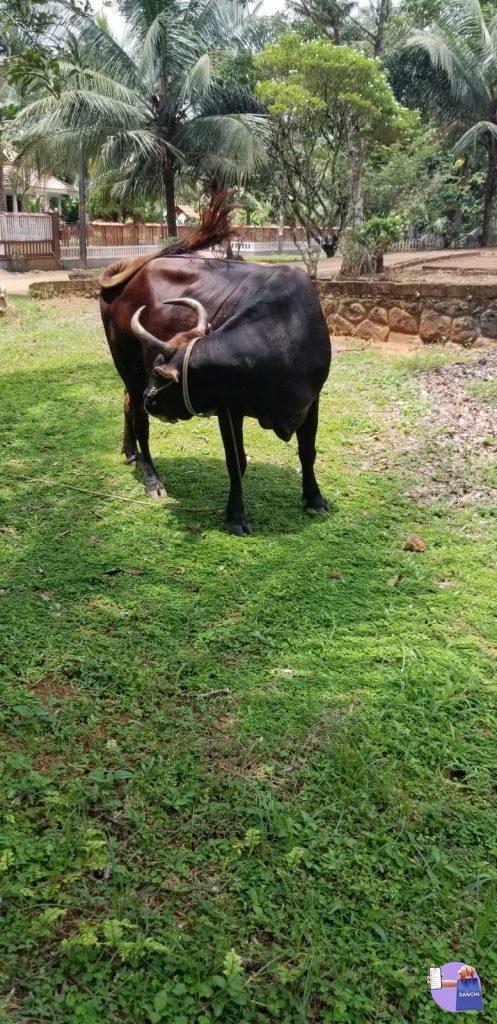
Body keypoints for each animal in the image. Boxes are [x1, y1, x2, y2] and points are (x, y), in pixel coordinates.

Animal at [99, 196, 331, 535]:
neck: (285, 333)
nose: (150, 399)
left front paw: (314, 498)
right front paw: (236, 515)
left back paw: (130, 451)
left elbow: (307, 451)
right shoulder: (229, 409)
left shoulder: (313, 400)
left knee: (128, 402)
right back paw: (152, 478)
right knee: (140, 419)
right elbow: (236, 462)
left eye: (160, 374)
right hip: (127, 365)